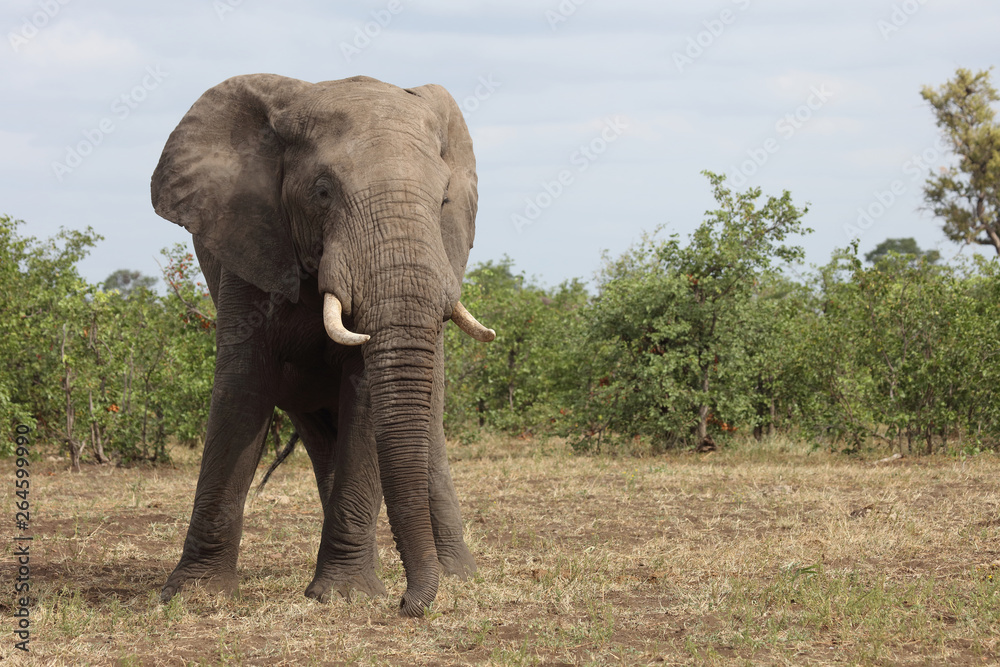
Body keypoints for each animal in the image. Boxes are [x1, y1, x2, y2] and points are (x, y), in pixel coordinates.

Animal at [150, 73, 494, 616]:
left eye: (443, 201)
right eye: (323, 191)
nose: (408, 606)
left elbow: (365, 394)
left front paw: (344, 596)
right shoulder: (252, 243)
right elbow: (241, 391)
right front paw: (194, 595)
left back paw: (457, 575)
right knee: (320, 435)